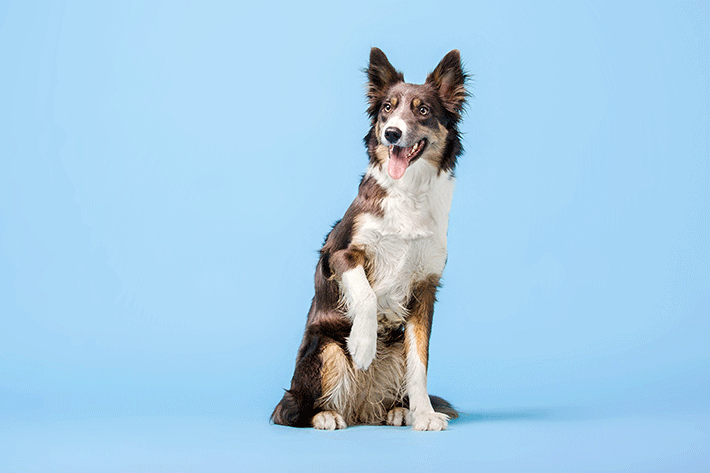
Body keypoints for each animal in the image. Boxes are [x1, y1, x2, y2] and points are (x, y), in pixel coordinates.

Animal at [272, 48, 468, 432]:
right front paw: (363, 344)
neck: (409, 193)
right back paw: (325, 414)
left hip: (394, 350)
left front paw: (424, 414)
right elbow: (364, 294)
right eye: (387, 109)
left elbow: (420, 364)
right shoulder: (338, 253)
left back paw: (399, 410)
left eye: (423, 110)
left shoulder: (425, 286)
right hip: (324, 348)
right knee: (293, 411)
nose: (392, 134)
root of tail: (359, 407)